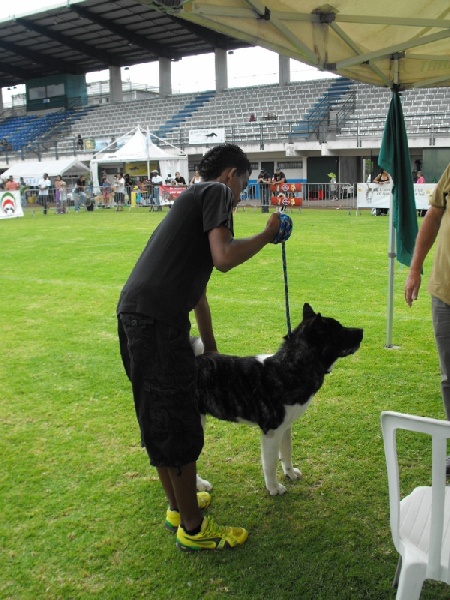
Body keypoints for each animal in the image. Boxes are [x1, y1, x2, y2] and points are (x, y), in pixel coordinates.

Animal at [193, 304, 362, 496]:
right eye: (339, 330)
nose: (362, 331)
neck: (289, 368)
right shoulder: (271, 432)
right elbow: (270, 464)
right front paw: (273, 487)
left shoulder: (285, 427)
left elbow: (287, 454)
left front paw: (290, 473)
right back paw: (200, 485)